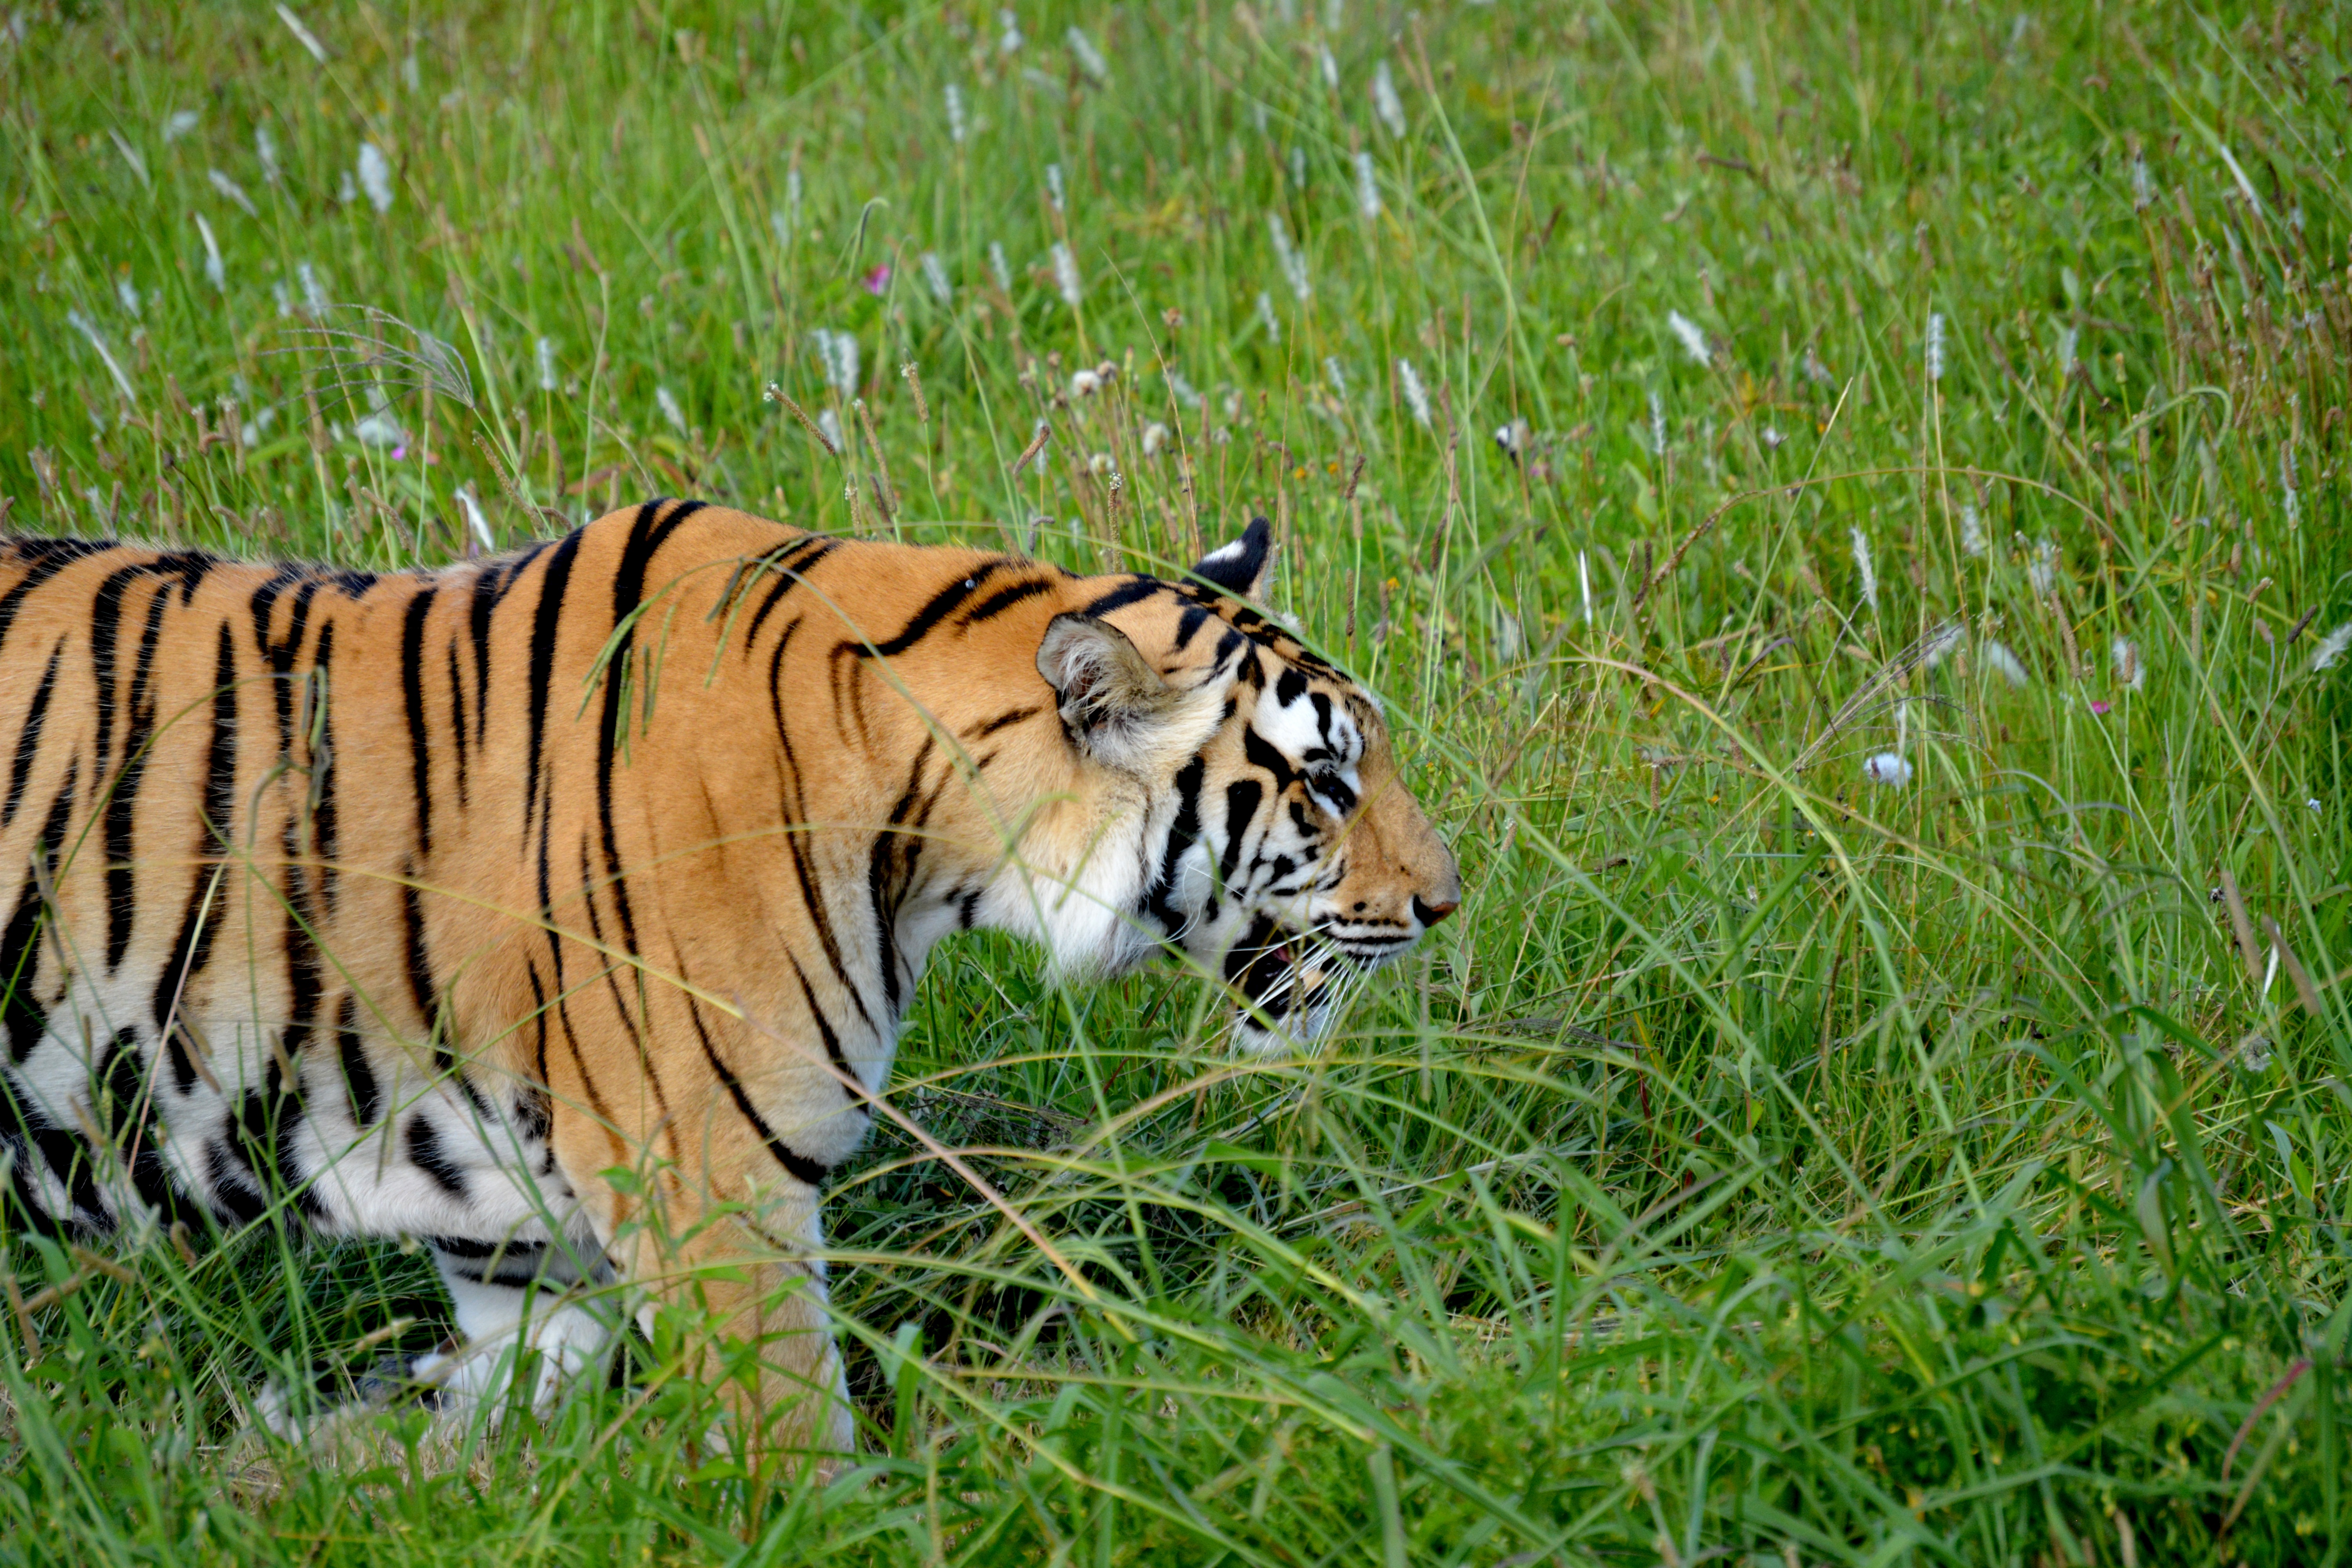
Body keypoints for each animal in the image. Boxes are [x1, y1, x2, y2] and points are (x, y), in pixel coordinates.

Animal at [0, 503, 1458, 1457]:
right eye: (1326, 786)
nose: (1448, 902)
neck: (931, 834)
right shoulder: (716, 1194)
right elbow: (802, 1458)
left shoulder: (517, 1231)